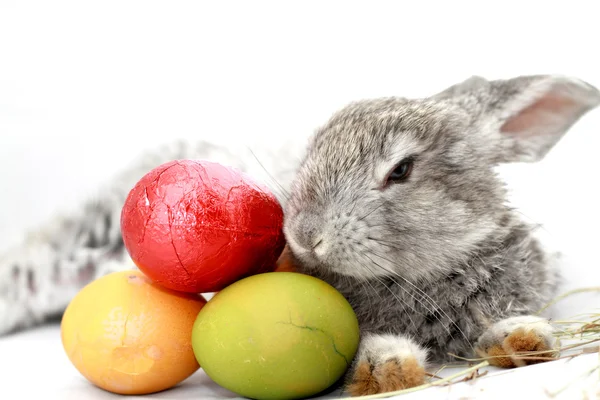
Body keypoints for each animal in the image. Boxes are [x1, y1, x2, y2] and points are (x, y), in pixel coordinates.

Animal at [1, 73, 600, 396]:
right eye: (315, 148)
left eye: (402, 170)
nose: (306, 234)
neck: (422, 275)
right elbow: (365, 351)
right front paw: (392, 366)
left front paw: (525, 341)